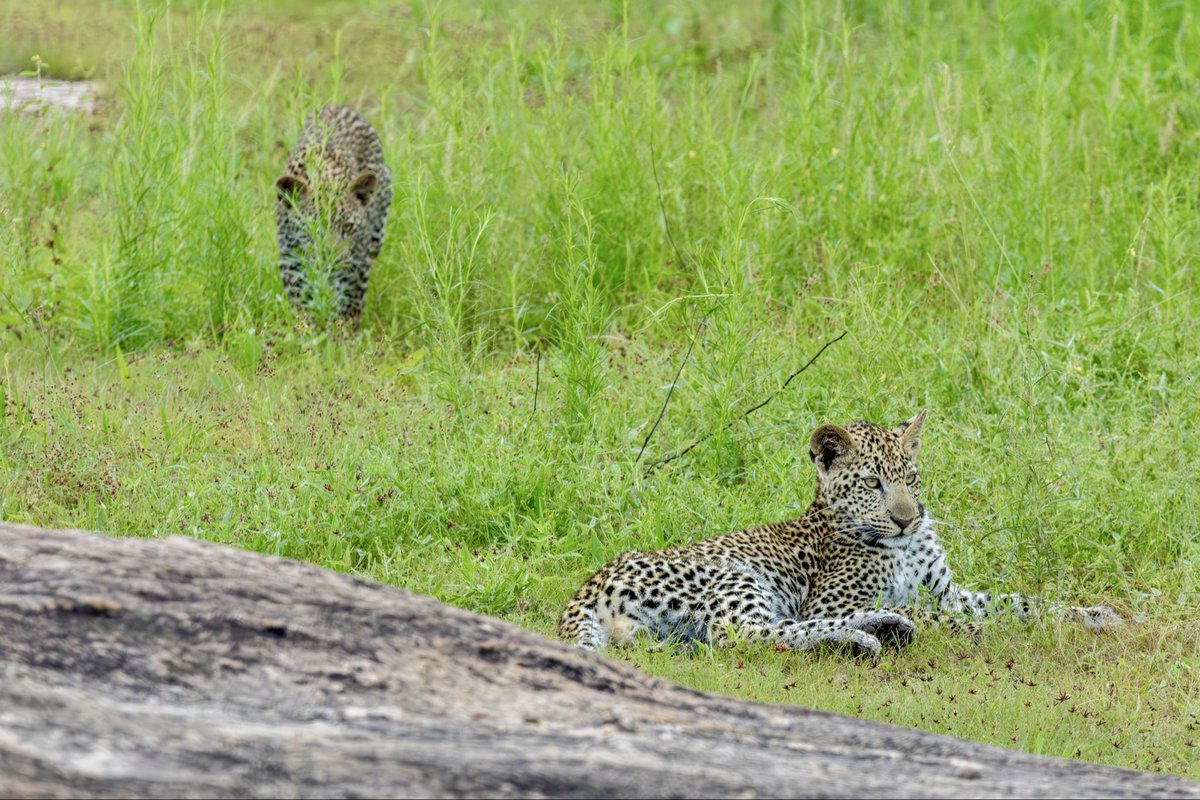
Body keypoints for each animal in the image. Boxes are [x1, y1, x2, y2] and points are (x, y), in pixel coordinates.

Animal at [275, 105, 392, 324]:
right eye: (314, 229)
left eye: (348, 227)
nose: (333, 260)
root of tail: (336, 106)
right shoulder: (290, 258)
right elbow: (300, 297)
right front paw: (306, 324)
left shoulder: (356, 263)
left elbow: (351, 301)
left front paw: (344, 327)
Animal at [558, 410, 1122, 656]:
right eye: (873, 484)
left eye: (909, 478)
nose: (907, 517)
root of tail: (587, 587)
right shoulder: (831, 598)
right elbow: (946, 612)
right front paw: (972, 629)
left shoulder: (949, 590)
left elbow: (1019, 601)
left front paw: (1091, 615)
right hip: (734, 578)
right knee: (749, 633)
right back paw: (870, 633)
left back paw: (879, 630)